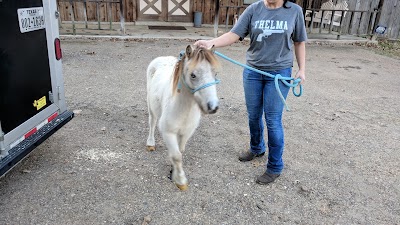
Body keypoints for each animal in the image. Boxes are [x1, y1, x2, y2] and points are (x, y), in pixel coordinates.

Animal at [145, 44, 220, 190]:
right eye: (193, 75)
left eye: (215, 73)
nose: (213, 106)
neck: (183, 110)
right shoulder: (168, 133)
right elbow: (177, 156)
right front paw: (180, 180)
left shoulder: (186, 133)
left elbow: (180, 152)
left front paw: (173, 171)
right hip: (151, 107)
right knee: (152, 122)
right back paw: (150, 143)